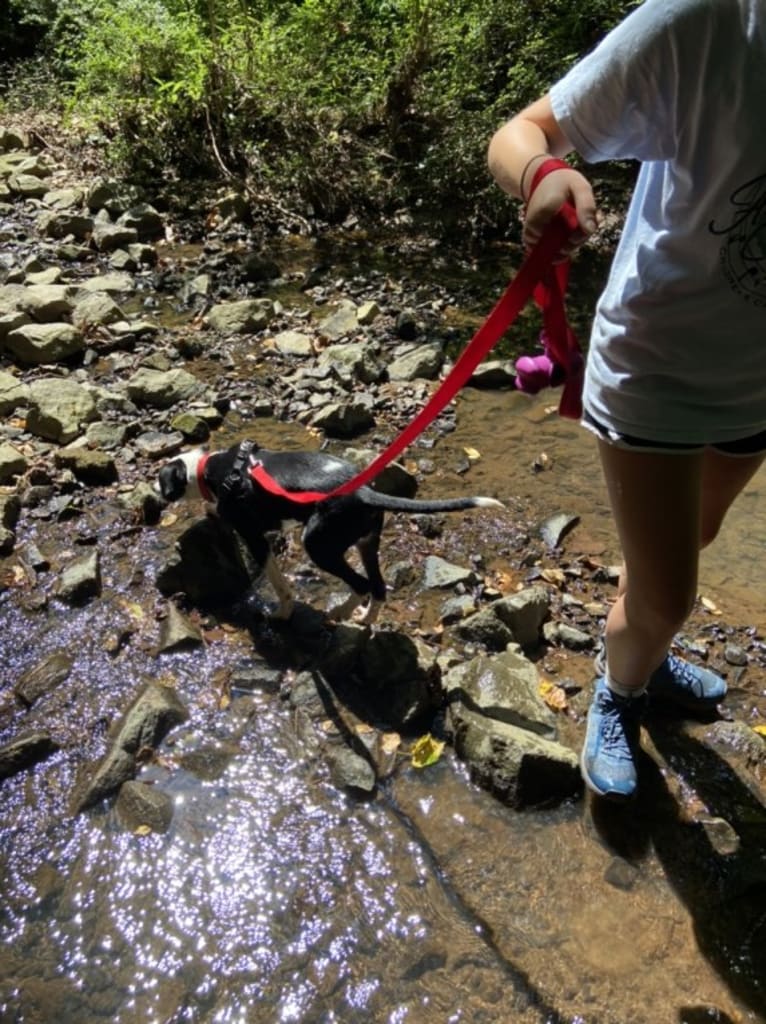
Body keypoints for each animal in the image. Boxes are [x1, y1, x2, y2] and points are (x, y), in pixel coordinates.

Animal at [156, 440, 501, 622]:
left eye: (160, 480)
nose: (155, 492)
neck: (210, 470)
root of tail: (364, 492)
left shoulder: (256, 539)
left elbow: (279, 584)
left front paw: (282, 613)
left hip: (318, 545)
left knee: (362, 584)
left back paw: (338, 614)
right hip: (366, 544)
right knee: (378, 587)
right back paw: (364, 622)